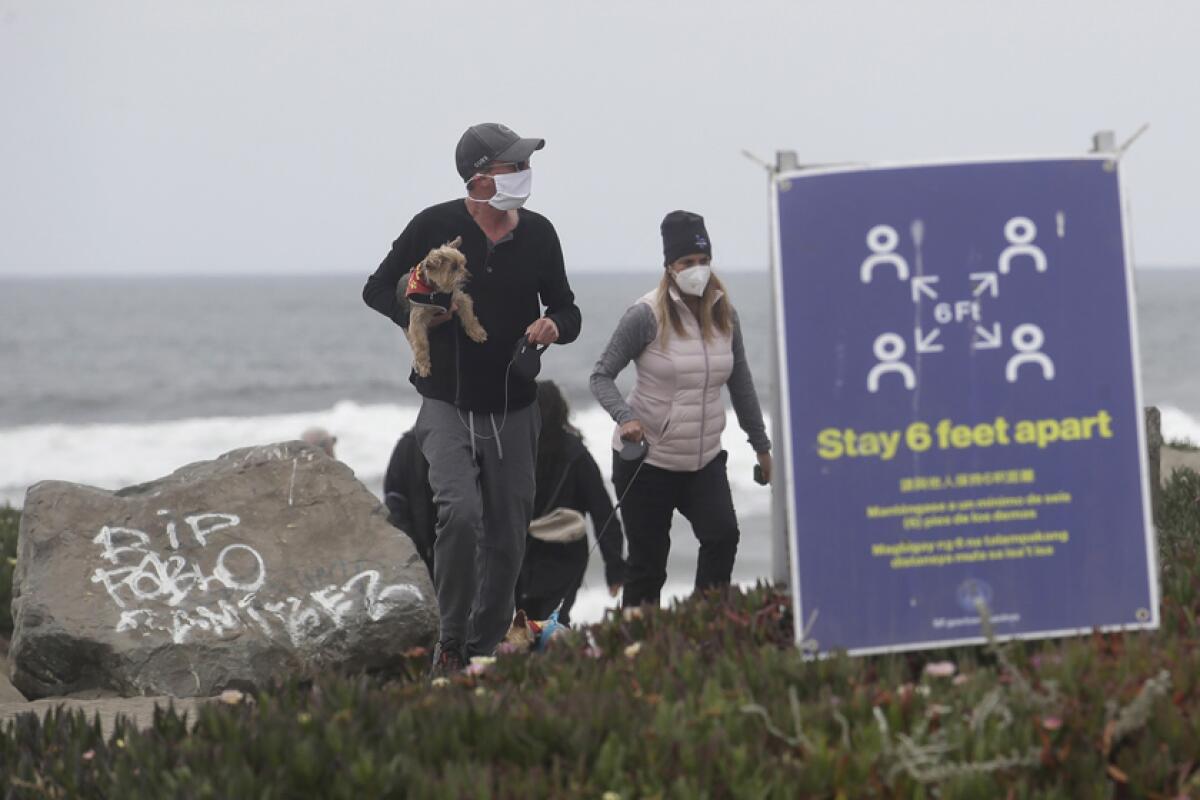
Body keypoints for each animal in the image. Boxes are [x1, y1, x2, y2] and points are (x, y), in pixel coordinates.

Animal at [403, 235, 487, 379]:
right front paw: (424, 365)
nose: (470, 276)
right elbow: (420, 343)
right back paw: (417, 364)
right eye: (453, 267)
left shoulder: (458, 297)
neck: (435, 291)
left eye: (464, 264)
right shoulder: (417, 319)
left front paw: (477, 332)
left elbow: (469, 315)